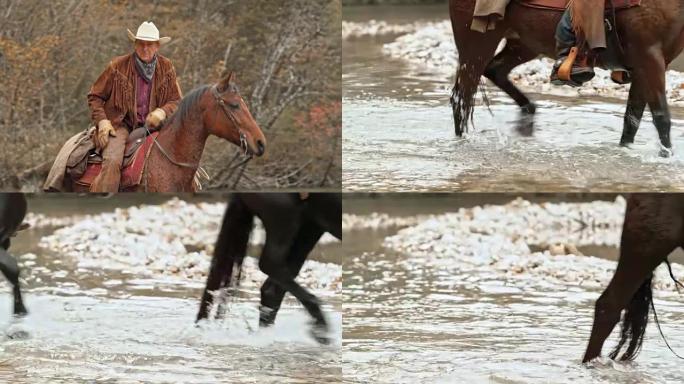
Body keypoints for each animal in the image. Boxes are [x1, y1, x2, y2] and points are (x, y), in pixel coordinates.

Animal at [448, 0, 684, 156]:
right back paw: (462, 142)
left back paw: (528, 115)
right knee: (462, 98)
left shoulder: (648, 64)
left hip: (525, 44)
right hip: (477, 41)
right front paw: (666, 158)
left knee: (494, 71)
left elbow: (632, 120)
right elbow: (661, 117)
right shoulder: (649, 57)